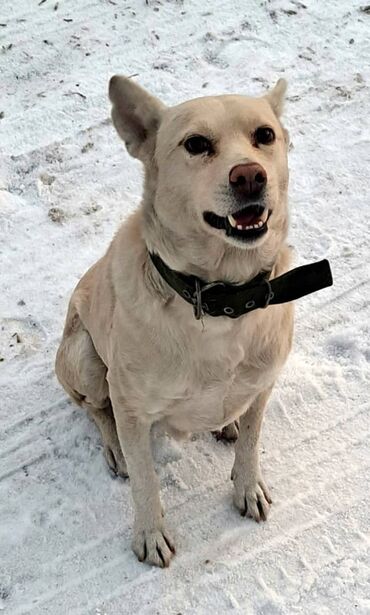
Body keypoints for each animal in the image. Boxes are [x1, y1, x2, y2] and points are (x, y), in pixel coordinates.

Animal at [55, 76, 294, 568]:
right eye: (196, 144)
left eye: (264, 135)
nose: (249, 176)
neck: (223, 299)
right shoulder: (131, 405)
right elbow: (147, 482)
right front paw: (149, 534)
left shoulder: (263, 384)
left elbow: (251, 444)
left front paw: (248, 487)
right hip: (85, 357)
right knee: (95, 409)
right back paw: (116, 449)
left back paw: (227, 423)